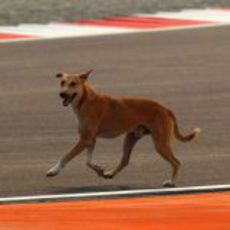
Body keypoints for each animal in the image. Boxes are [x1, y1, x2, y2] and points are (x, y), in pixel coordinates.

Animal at [46, 69, 199, 187]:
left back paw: (171, 182)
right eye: (62, 83)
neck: (85, 101)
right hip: (131, 138)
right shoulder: (90, 139)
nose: (62, 94)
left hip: (160, 144)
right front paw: (99, 170)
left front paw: (53, 171)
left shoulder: (85, 140)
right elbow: (88, 161)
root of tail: (165, 108)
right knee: (125, 160)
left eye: (73, 84)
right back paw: (111, 174)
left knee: (176, 162)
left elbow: (66, 156)